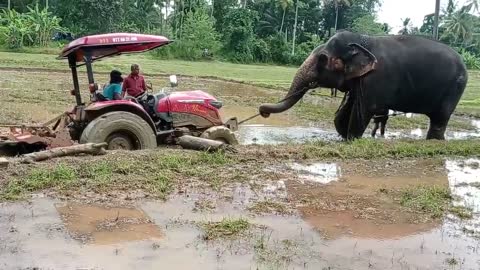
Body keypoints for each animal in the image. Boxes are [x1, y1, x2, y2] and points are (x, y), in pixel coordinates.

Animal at [258, 30, 468, 140]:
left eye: (323, 59)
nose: (263, 112)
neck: (363, 40)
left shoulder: (376, 79)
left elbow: (365, 109)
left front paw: (351, 139)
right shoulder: (359, 80)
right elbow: (347, 109)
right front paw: (344, 135)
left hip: (455, 88)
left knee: (440, 118)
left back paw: (433, 141)